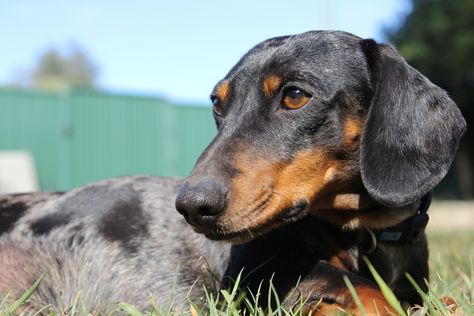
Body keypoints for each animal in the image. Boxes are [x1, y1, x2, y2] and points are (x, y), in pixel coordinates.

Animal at [0, 31, 466, 314]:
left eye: (295, 96)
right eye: (218, 105)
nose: (191, 206)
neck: (359, 232)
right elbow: (350, 283)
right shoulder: (257, 276)